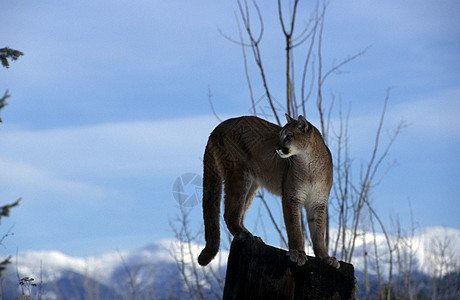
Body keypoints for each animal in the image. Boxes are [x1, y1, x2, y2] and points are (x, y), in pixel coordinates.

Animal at [196, 113, 340, 268]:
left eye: (288, 136)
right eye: (280, 135)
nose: (276, 147)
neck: (310, 164)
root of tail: (219, 126)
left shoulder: (317, 202)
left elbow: (318, 232)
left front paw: (325, 257)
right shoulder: (291, 197)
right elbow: (295, 228)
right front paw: (297, 253)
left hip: (252, 185)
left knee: (238, 212)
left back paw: (251, 236)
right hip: (239, 174)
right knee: (229, 213)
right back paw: (244, 234)